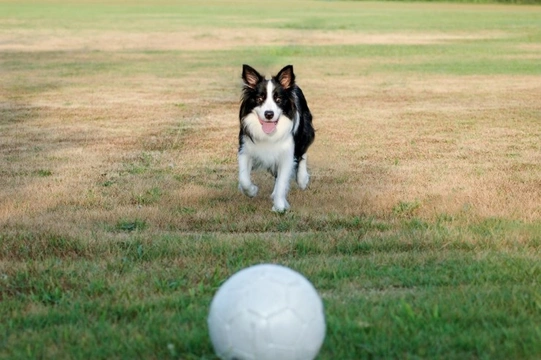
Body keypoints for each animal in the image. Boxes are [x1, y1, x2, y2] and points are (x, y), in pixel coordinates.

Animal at [237, 64, 316, 211]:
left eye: (278, 100)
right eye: (259, 99)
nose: (269, 114)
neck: (269, 134)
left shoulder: (287, 154)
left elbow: (282, 181)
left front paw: (279, 206)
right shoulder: (245, 148)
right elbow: (244, 178)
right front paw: (252, 191)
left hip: (306, 131)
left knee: (303, 153)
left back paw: (302, 179)